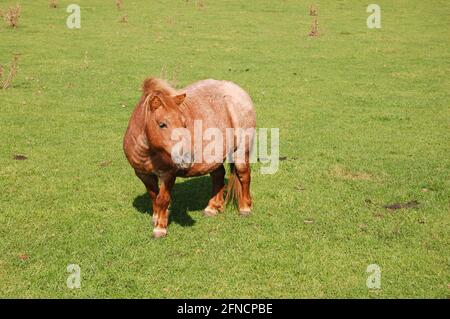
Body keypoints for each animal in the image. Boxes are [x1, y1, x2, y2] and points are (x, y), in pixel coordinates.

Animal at [123, 77, 256, 238]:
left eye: (184, 123)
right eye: (162, 124)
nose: (186, 157)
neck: (149, 151)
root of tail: (239, 91)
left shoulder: (169, 174)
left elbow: (162, 199)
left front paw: (160, 228)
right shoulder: (143, 174)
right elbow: (153, 196)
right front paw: (156, 218)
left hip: (242, 151)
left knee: (244, 175)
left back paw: (245, 208)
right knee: (218, 176)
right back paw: (212, 208)